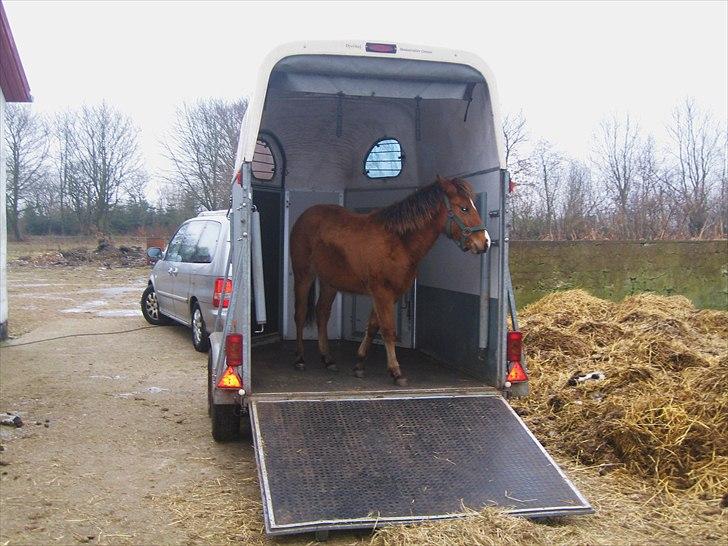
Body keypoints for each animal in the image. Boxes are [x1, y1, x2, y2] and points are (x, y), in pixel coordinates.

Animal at [288, 176, 490, 384]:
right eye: (464, 208)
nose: (485, 242)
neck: (399, 241)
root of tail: (305, 216)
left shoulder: (391, 294)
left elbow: (372, 327)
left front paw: (360, 364)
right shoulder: (382, 292)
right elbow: (387, 330)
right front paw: (395, 371)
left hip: (329, 282)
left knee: (322, 313)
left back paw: (328, 359)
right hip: (303, 275)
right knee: (300, 314)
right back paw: (300, 358)